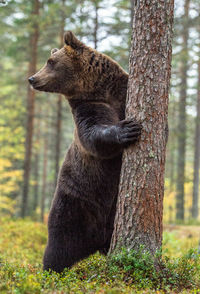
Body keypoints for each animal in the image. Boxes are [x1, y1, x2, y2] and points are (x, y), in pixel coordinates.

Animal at [28, 31, 141, 274]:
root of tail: (96, 241)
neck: (98, 89)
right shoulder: (88, 106)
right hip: (72, 203)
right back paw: (50, 271)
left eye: (50, 61)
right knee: (58, 244)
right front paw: (126, 129)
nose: (32, 79)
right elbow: (93, 134)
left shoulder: (120, 94)